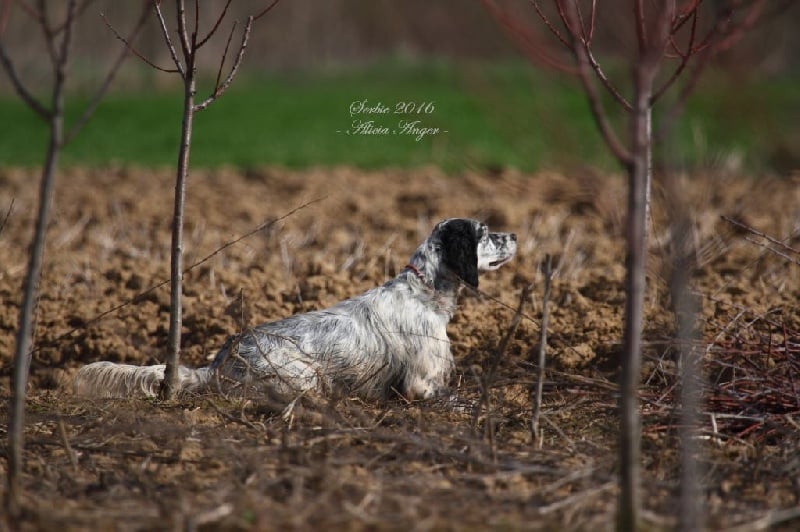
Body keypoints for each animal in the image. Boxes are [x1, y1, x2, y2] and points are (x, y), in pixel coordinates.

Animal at [73, 218, 517, 401]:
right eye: (483, 233)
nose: (513, 234)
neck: (423, 289)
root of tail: (216, 365)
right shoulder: (420, 386)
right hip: (303, 377)